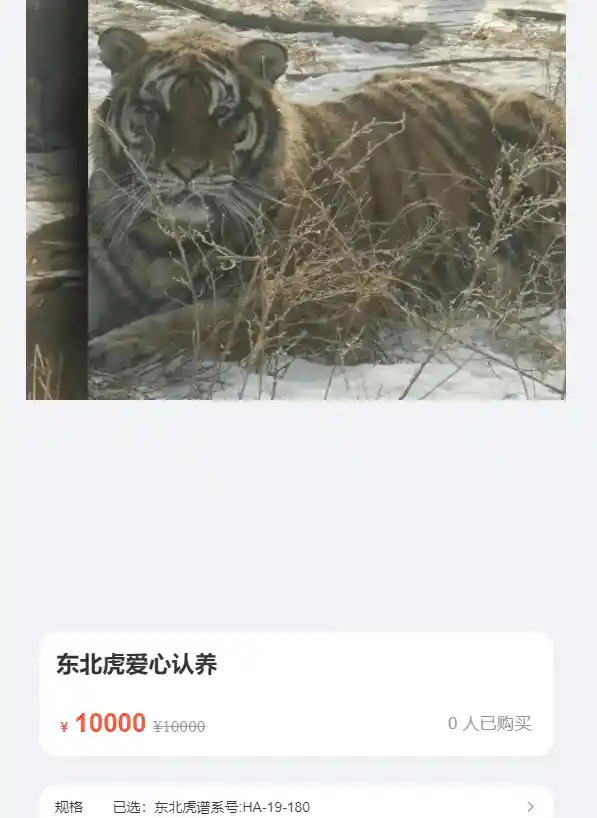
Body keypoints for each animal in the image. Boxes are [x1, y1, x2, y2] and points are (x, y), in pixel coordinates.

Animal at [88, 24, 565, 370]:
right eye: (153, 110)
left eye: (223, 113)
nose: (186, 171)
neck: (166, 239)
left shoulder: (333, 291)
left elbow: (208, 317)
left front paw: (117, 343)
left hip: (518, 113)